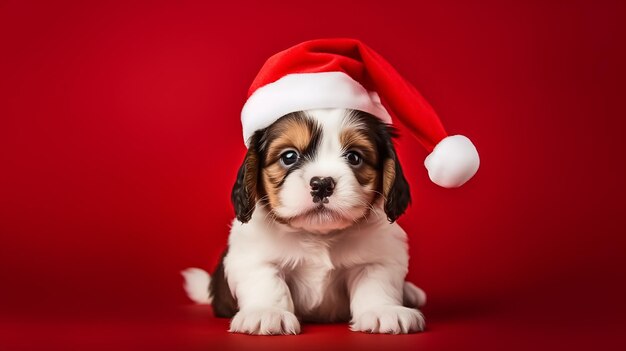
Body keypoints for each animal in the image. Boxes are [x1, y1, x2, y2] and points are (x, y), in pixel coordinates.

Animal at [180, 109, 424, 336]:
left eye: (354, 157)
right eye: (289, 157)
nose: (322, 184)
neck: (318, 235)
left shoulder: (378, 258)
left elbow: (376, 283)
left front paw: (384, 310)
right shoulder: (253, 255)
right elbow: (267, 281)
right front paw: (267, 312)